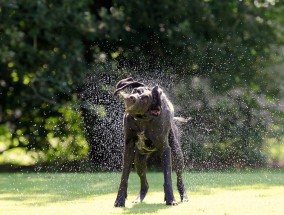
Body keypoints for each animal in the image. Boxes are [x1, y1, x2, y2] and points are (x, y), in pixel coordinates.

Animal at [113, 77, 189, 207]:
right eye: (135, 90)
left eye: (145, 98)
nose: (131, 98)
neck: (142, 119)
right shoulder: (128, 148)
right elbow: (124, 178)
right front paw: (119, 200)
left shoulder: (165, 148)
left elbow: (168, 178)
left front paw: (171, 199)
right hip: (139, 160)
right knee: (145, 184)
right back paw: (139, 198)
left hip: (177, 154)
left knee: (179, 179)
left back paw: (183, 196)